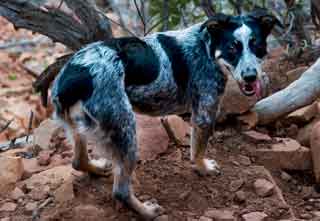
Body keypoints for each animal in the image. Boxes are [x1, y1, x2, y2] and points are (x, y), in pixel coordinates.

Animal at [51, 9, 278, 220]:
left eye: (257, 45)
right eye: (232, 48)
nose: (250, 76)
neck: (205, 47)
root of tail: (72, 78)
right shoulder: (205, 112)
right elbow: (198, 150)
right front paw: (203, 168)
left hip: (78, 126)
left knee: (77, 161)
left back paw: (97, 168)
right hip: (126, 129)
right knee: (120, 191)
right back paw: (147, 211)